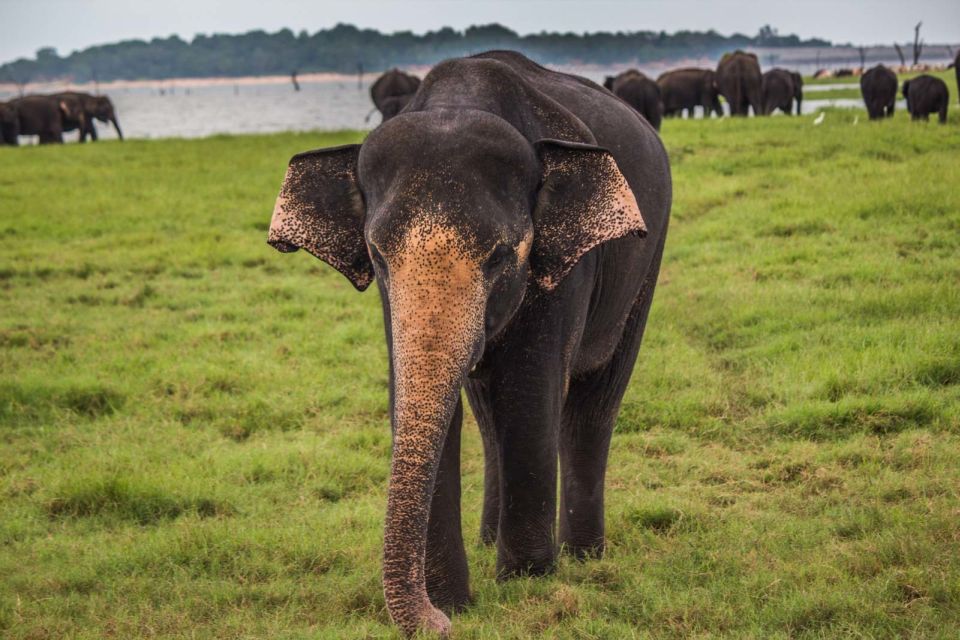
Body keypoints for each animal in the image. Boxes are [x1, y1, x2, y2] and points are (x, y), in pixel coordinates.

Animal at [266, 51, 672, 640]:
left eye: (501, 256)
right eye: (377, 256)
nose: (437, 624)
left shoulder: (563, 269)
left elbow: (530, 392)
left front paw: (526, 585)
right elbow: (425, 401)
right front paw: (455, 602)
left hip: (647, 258)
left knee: (594, 403)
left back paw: (582, 557)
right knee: (487, 414)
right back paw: (489, 541)